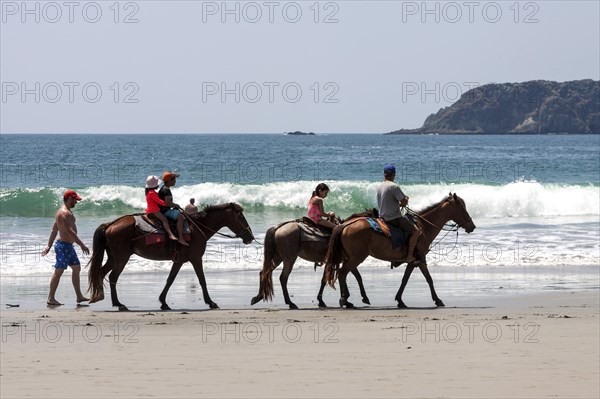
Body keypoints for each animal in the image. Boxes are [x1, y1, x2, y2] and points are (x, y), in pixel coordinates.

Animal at [87, 203, 253, 312]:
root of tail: (109, 224)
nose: (250, 237)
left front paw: (163, 302)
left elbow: (170, 279)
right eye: (241, 216)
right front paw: (211, 302)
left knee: (101, 272)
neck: (196, 227)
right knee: (113, 277)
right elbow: (202, 280)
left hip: (113, 258)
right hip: (121, 258)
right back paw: (119, 304)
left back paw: (100, 296)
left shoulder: (178, 261)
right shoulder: (196, 258)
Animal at [326, 194, 476, 310]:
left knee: (346, 273)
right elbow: (429, 279)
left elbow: (405, 279)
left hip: (350, 257)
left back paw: (350, 300)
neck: (423, 227)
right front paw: (437, 300)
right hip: (356, 257)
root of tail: (344, 225)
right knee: (342, 273)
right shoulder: (420, 259)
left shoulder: (413, 262)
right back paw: (344, 299)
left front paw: (400, 300)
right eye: (462, 208)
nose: (472, 226)